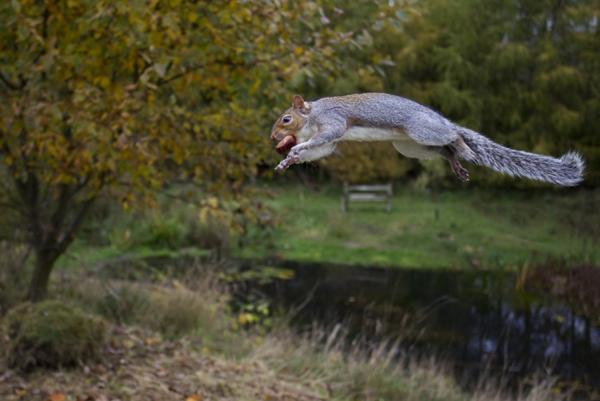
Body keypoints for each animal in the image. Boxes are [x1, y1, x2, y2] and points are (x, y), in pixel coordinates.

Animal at [270, 93, 584, 186]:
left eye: (286, 119)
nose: (273, 137)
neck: (313, 115)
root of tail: (443, 120)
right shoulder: (329, 142)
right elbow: (320, 149)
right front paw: (289, 160)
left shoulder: (333, 123)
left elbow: (322, 139)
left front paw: (297, 148)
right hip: (411, 145)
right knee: (443, 150)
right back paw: (456, 162)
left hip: (422, 131)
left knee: (452, 136)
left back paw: (463, 146)